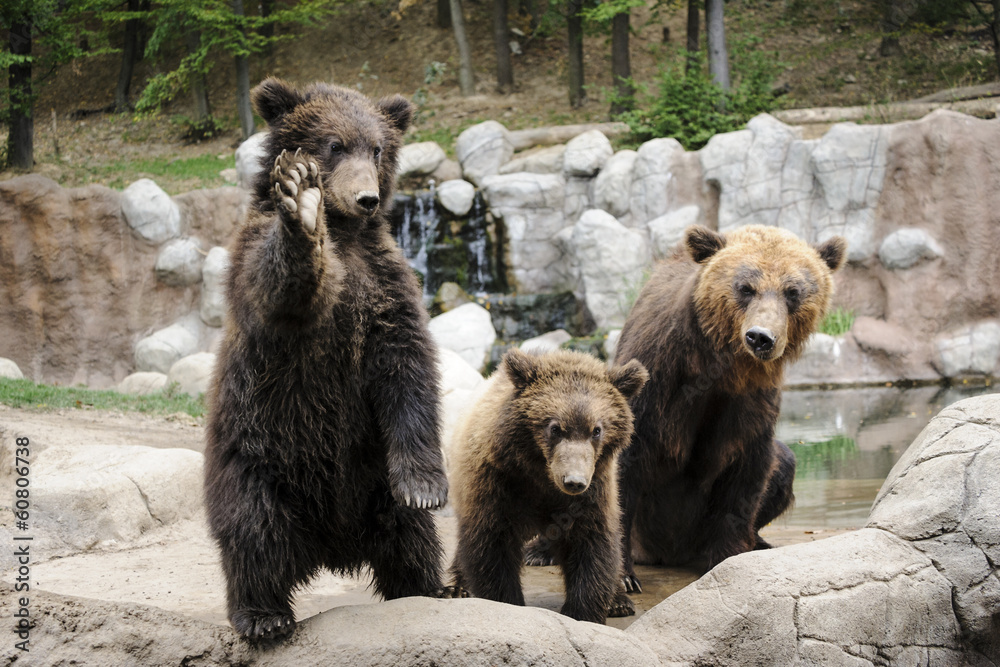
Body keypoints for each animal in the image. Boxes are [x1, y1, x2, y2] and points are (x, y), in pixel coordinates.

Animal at [203, 78, 450, 640]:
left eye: (377, 148)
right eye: (334, 144)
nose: (367, 197)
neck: (346, 234)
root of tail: (333, 548)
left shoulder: (386, 284)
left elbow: (409, 370)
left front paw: (425, 488)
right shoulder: (263, 273)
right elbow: (283, 284)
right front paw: (300, 200)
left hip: (374, 477)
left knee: (412, 539)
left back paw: (430, 587)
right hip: (258, 453)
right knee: (253, 532)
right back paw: (263, 615)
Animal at [449, 348, 649, 624]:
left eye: (596, 430)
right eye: (555, 428)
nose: (574, 481)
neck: (541, 476)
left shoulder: (593, 492)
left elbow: (592, 545)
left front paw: (582, 612)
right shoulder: (496, 482)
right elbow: (491, 545)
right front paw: (507, 602)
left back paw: (619, 600)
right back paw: (457, 587)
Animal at [609, 224, 847, 592]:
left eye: (792, 291)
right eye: (745, 287)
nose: (760, 337)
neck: (719, 363)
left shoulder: (750, 399)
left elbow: (746, 471)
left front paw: (728, 558)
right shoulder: (658, 374)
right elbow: (625, 460)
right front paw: (623, 579)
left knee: (785, 462)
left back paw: (759, 542)